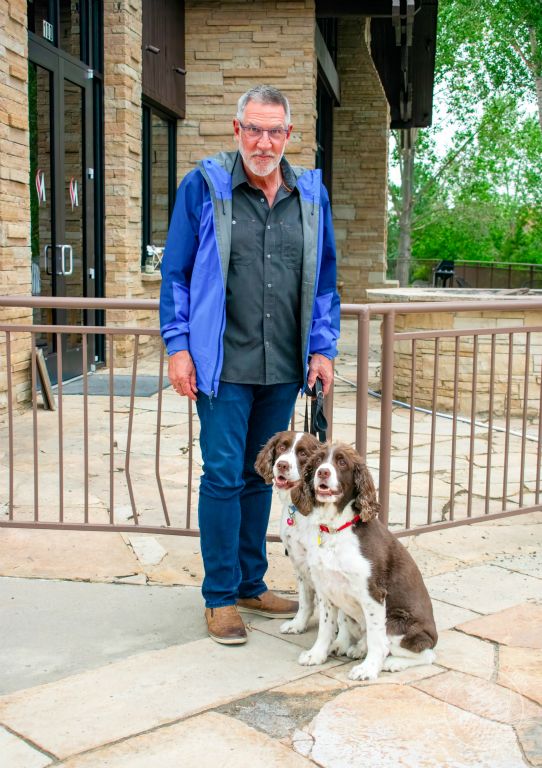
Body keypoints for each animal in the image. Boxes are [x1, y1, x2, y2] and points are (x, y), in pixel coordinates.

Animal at [291, 442, 438, 680]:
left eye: (342, 462)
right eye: (319, 461)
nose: (323, 472)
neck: (335, 529)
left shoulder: (373, 593)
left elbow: (378, 639)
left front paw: (368, 669)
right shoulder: (325, 588)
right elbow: (326, 627)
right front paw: (317, 655)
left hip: (398, 623)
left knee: (426, 653)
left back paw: (392, 663)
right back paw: (357, 647)